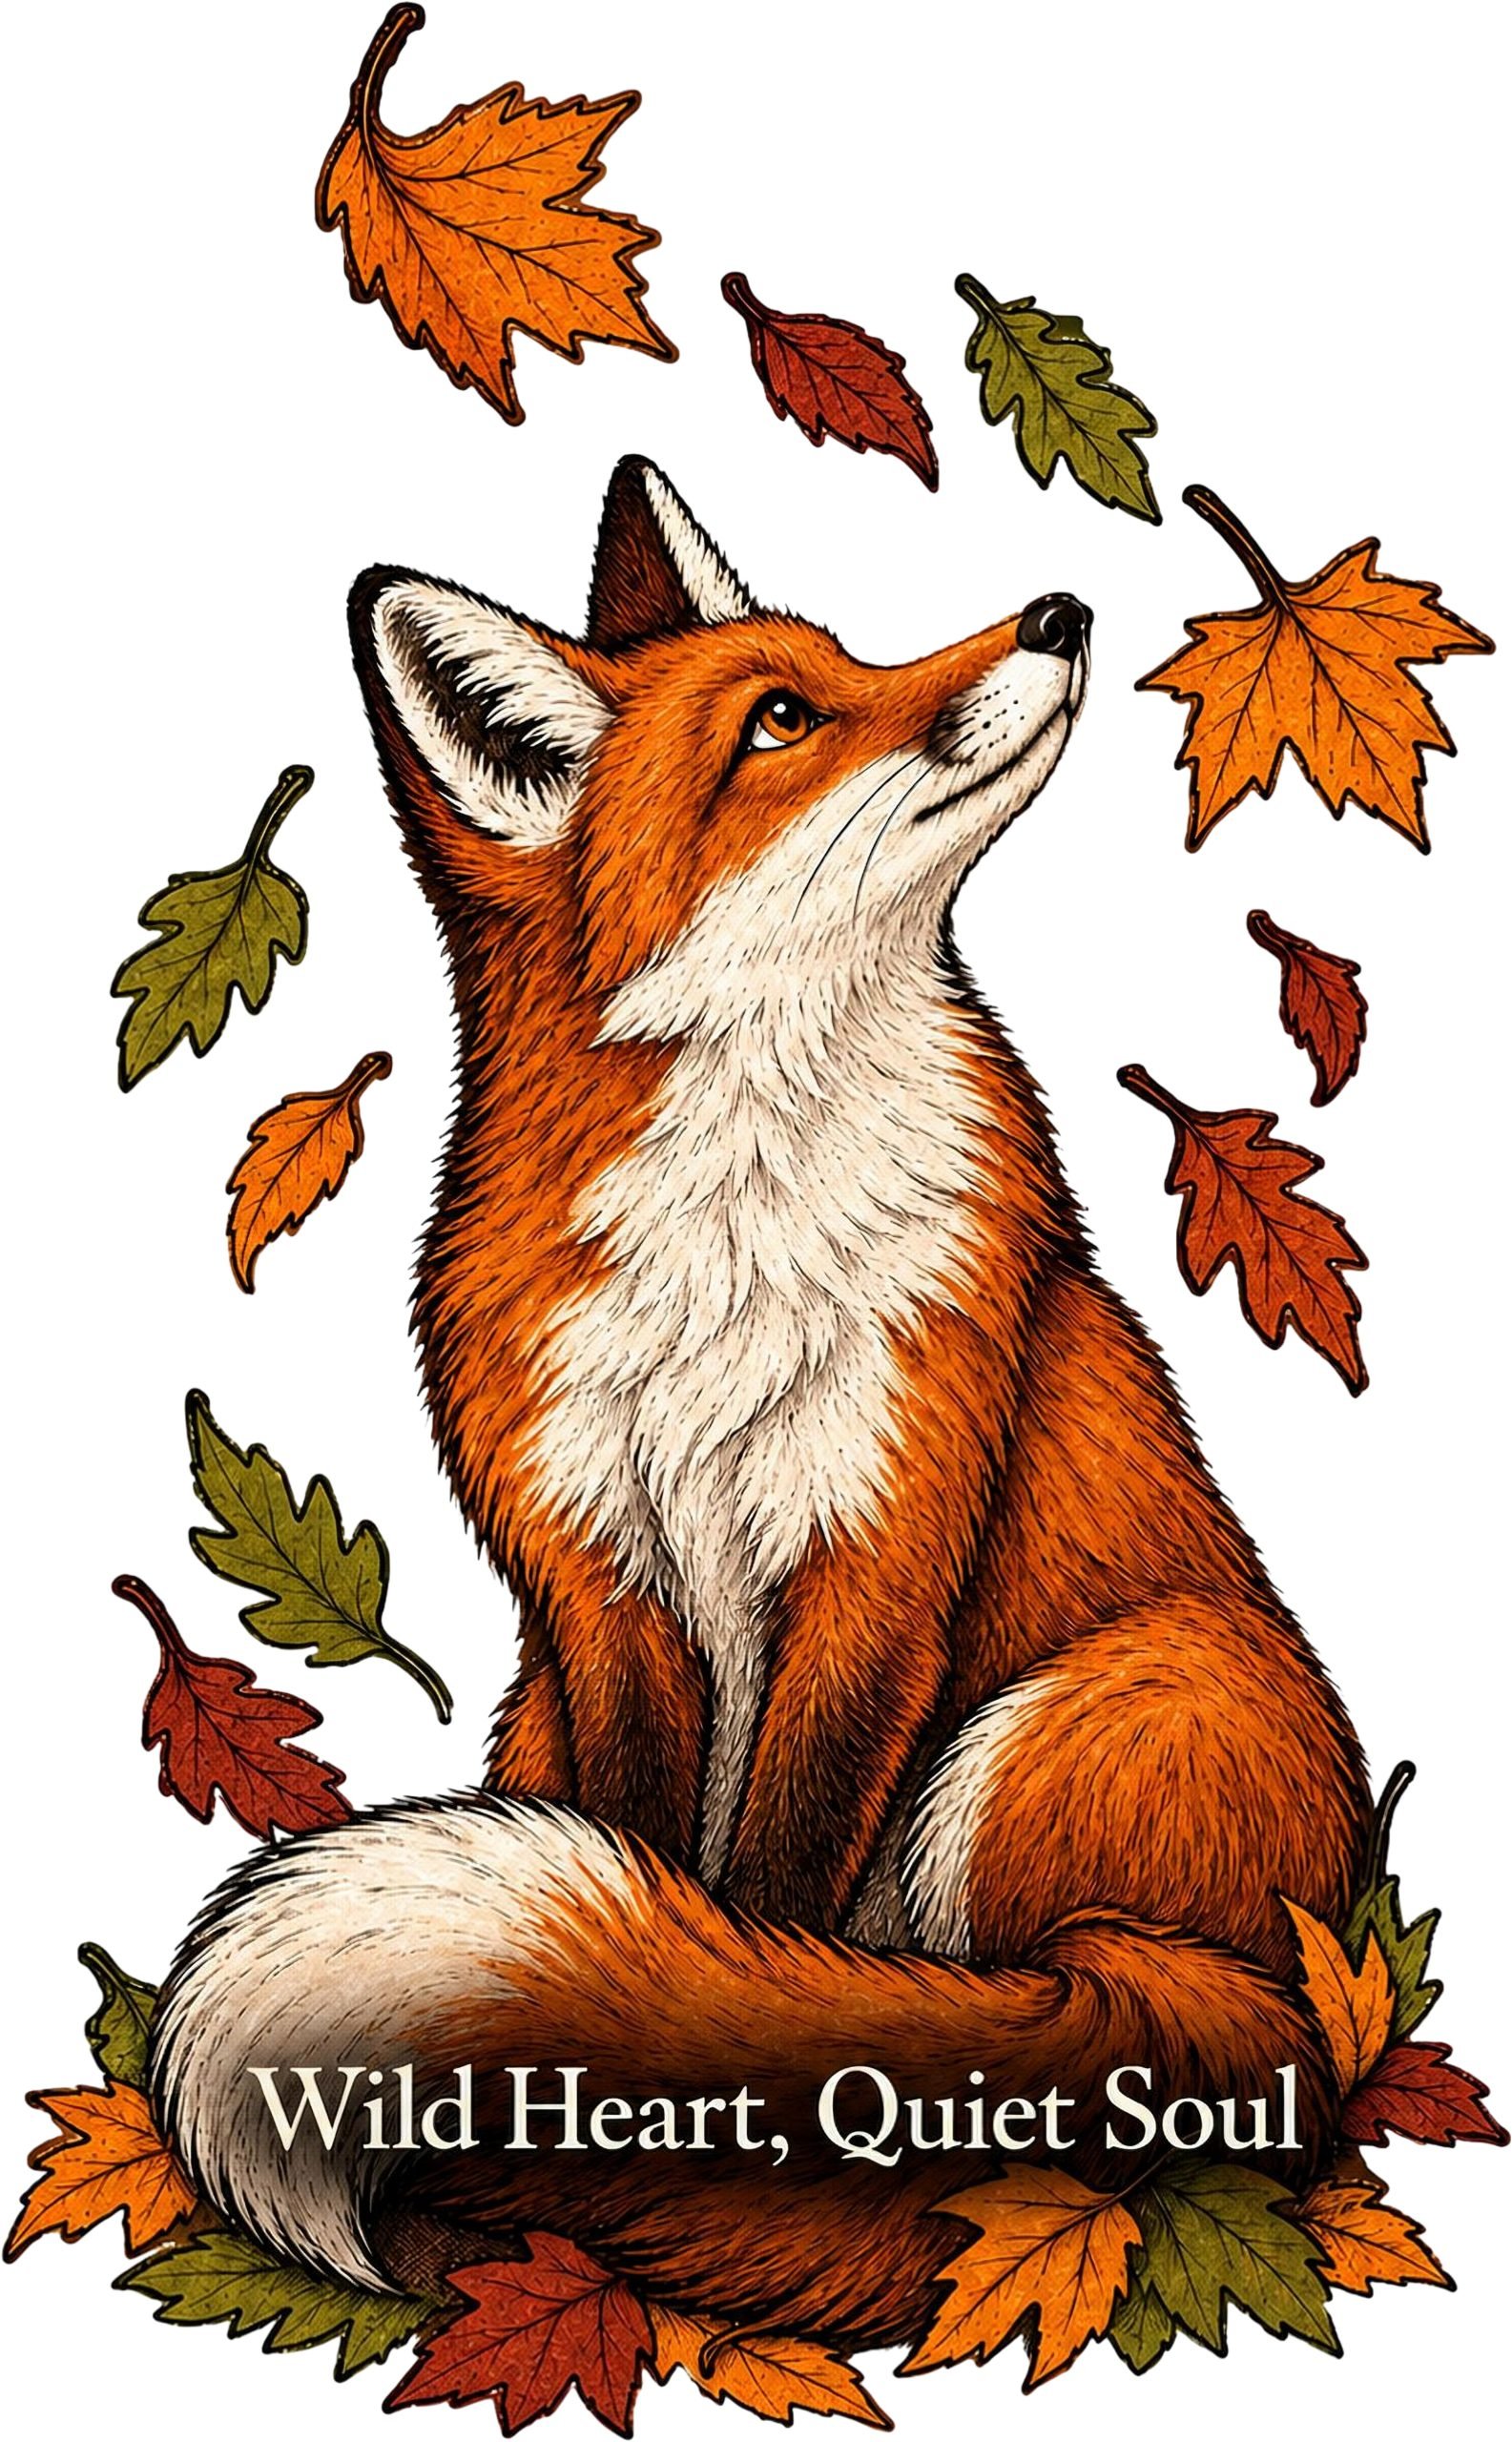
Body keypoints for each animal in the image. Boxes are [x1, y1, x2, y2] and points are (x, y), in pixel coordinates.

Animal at [151, 457, 1370, 2348]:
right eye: (782, 719)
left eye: (846, 653)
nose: (1059, 611)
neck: (736, 1260)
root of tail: (1312, 1994)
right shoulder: (603, 1592)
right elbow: (673, 1881)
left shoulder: (876, 1561)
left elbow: (769, 1945)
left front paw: (726, 2106)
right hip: (558, 1724)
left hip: (1075, 1716)